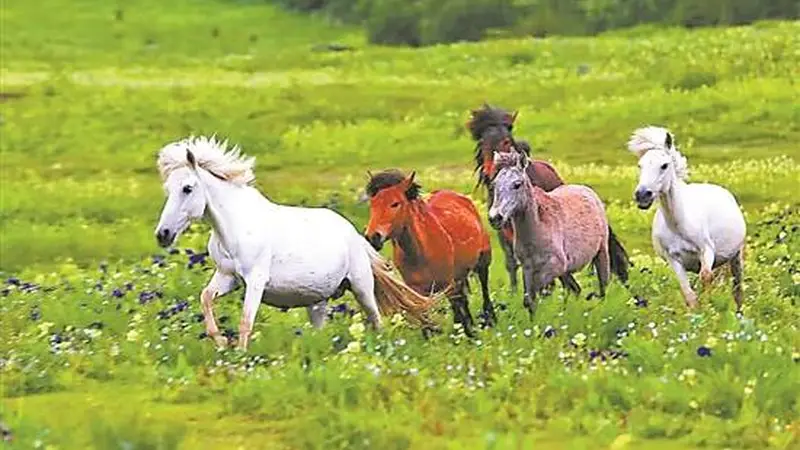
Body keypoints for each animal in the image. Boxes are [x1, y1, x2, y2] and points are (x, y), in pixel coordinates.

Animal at [153, 136, 436, 351]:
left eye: (187, 188)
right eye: (168, 190)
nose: (163, 234)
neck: (236, 225)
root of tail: (355, 235)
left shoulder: (256, 280)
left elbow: (246, 321)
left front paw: (240, 357)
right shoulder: (227, 277)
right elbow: (206, 298)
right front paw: (221, 341)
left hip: (361, 287)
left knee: (376, 320)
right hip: (317, 302)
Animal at [364, 169, 495, 337]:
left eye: (395, 204)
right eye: (372, 205)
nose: (372, 237)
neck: (420, 253)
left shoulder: (448, 285)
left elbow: (458, 311)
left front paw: (468, 334)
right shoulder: (418, 292)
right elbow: (426, 321)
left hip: (482, 263)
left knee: (483, 290)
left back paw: (489, 320)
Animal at [466, 103, 631, 296]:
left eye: (506, 141)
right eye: (482, 142)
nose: (490, 172)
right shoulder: (504, 235)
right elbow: (512, 265)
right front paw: (514, 294)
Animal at [488, 151, 612, 317]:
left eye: (517, 184)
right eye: (494, 184)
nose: (495, 217)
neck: (538, 228)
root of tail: (588, 191)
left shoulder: (553, 268)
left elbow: (539, 292)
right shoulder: (528, 268)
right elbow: (529, 301)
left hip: (601, 253)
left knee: (603, 286)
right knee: (575, 289)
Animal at [627, 126, 746, 311]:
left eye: (664, 165)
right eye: (640, 165)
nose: (642, 195)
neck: (678, 225)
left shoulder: (706, 251)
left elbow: (706, 278)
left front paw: (709, 310)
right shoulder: (673, 259)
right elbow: (689, 295)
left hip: (736, 256)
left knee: (737, 290)